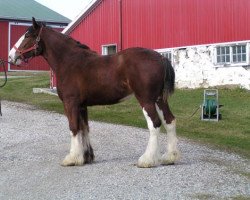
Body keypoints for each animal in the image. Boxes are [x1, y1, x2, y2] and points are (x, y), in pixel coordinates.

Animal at [8, 17, 180, 168]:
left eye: (28, 35)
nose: (11, 56)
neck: (69, 61)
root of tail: (160, 58)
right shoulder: (81, 106)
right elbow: (84, 128)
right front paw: (86, 157)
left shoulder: (70, 103)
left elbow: (73, 127)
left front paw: (72, 158)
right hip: (159, 99)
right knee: (169, 121)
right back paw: (170, 157)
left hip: (146, 99)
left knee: (155, 124)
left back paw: (147, 160)